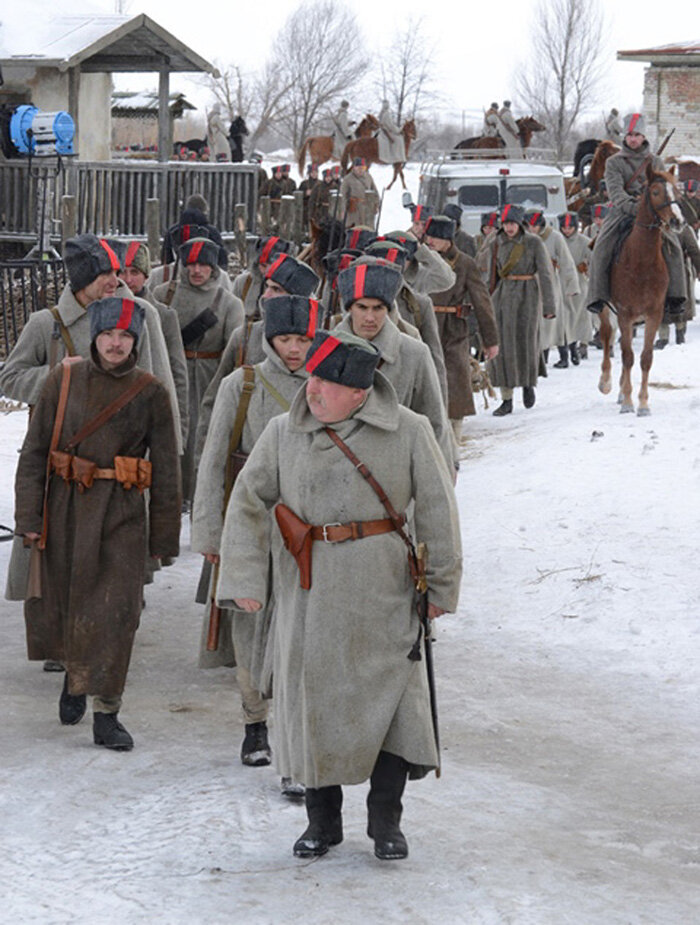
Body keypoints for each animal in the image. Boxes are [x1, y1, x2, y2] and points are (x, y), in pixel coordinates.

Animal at [596, 164, 684, 414]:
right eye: (655, 192)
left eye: (676, 190)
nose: (677, 221)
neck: (641, 261)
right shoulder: (624, 313)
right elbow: (627, 356)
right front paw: (628, 402)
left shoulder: (654, 313)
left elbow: (645, 357)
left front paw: (643, 403)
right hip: (606, 310)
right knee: (607, 336)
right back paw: (606, 383)